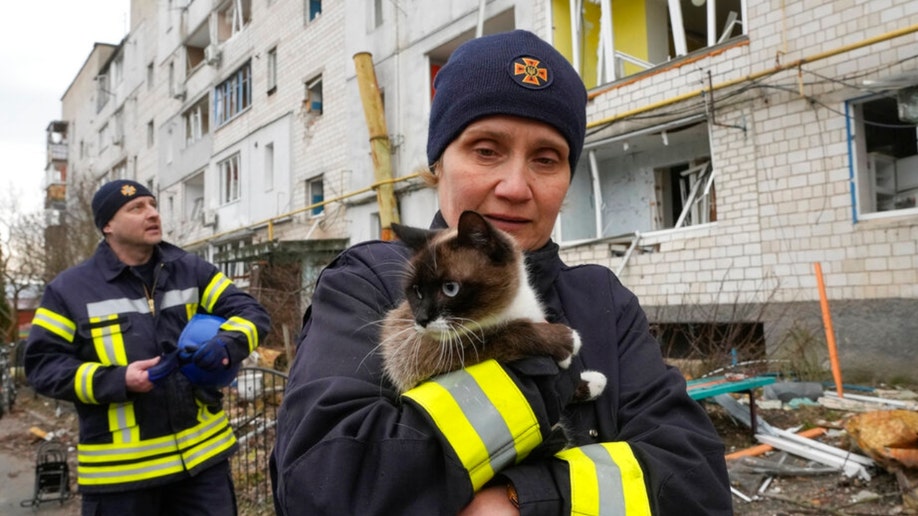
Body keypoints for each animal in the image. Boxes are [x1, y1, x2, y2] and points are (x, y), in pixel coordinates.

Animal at [380, 210, 604, 404]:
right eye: (417, 292)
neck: (509, 308)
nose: (421, 320)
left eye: (450, 288)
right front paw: (567, 342)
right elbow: (511, 332)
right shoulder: (436, 356)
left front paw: (592, 382)